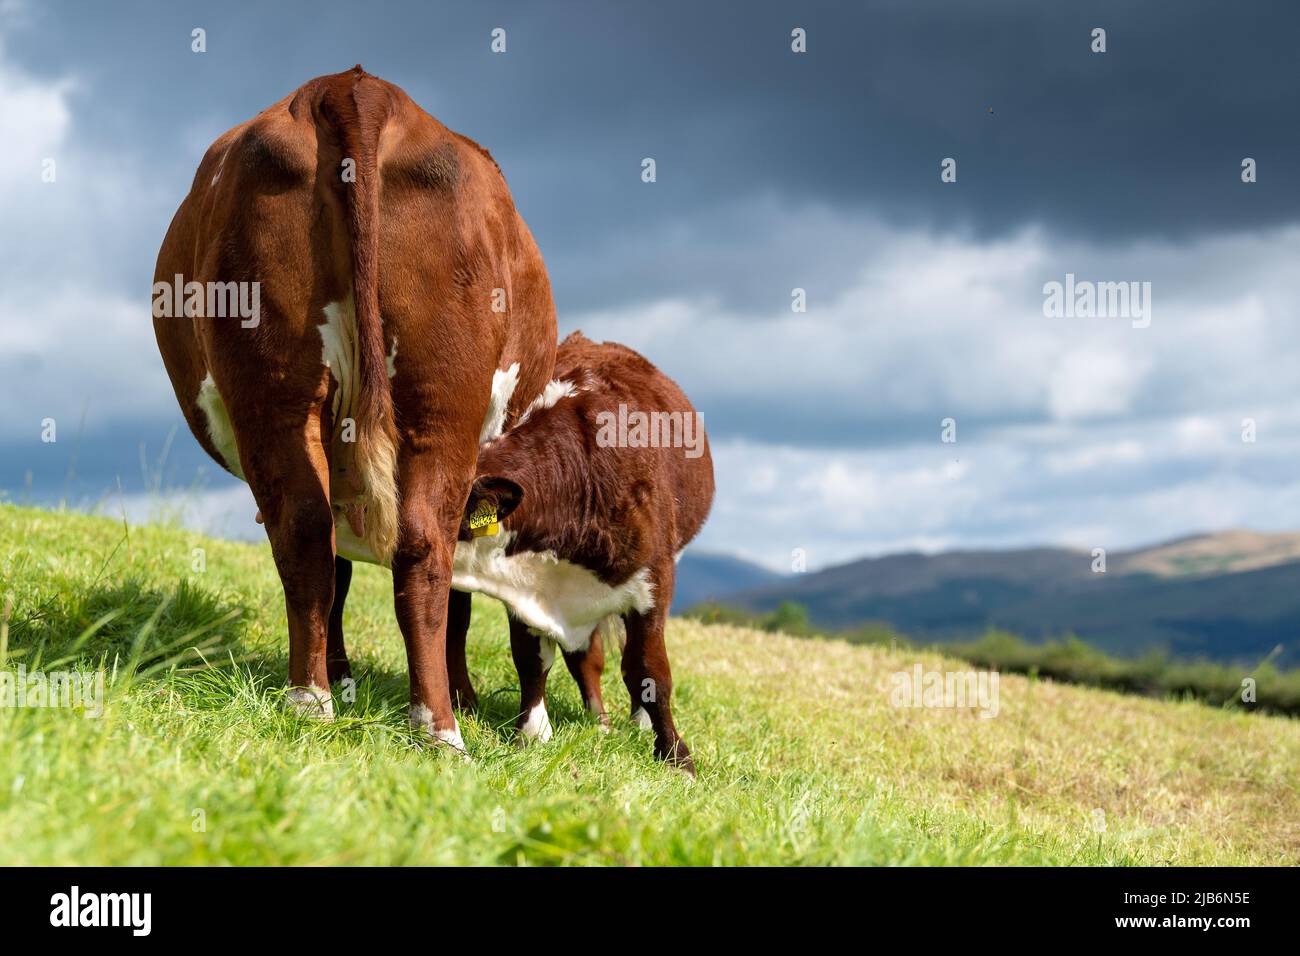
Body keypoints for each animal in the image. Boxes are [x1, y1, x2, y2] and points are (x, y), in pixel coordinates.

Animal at [152, 67, 553, 754]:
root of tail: (351, 86)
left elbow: (334, 572)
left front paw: (341, 682)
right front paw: (463, 698)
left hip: (274, 391)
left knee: (306, 531)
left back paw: (311, 700)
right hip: (440, 406)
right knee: (424, 547)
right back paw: (439, 725)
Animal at [444, 332, 712, 775]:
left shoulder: (653, 583)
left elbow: (650, 671)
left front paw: (677, 758)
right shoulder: (526, 587)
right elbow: (533, 659)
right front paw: (532, 733)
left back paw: (633, 721)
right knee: (588, 657)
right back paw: (599, 722)